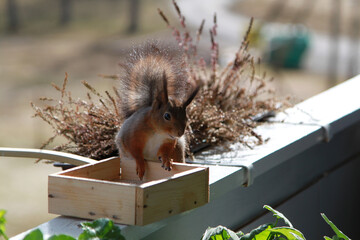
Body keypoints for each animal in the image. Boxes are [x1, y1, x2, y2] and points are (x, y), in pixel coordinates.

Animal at [115, 42, 198, 179]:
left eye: (186, 117)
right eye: (167, 116)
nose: (180, 133)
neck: (158, 132)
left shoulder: (169, 141)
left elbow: (164, 151)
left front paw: (166, 160)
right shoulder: (131, 135)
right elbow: (135, 151)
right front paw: (140, 164)